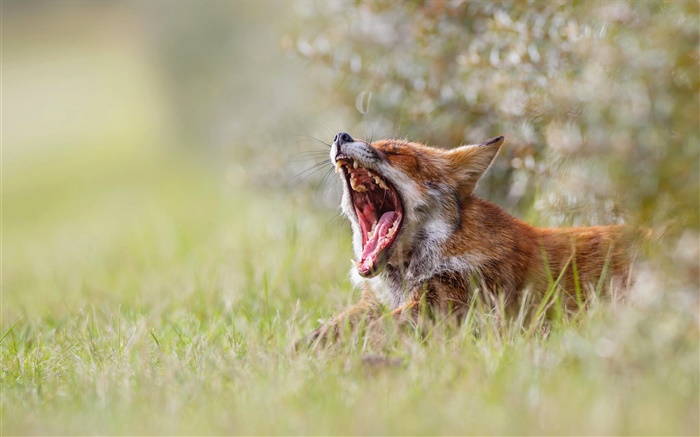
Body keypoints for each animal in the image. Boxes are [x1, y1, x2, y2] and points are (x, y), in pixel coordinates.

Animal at [300, 131, 636, 346]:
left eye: (396, 151)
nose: (341, 136)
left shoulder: (452, 305)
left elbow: (368, 332)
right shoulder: (380, 303)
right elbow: (331, 328)